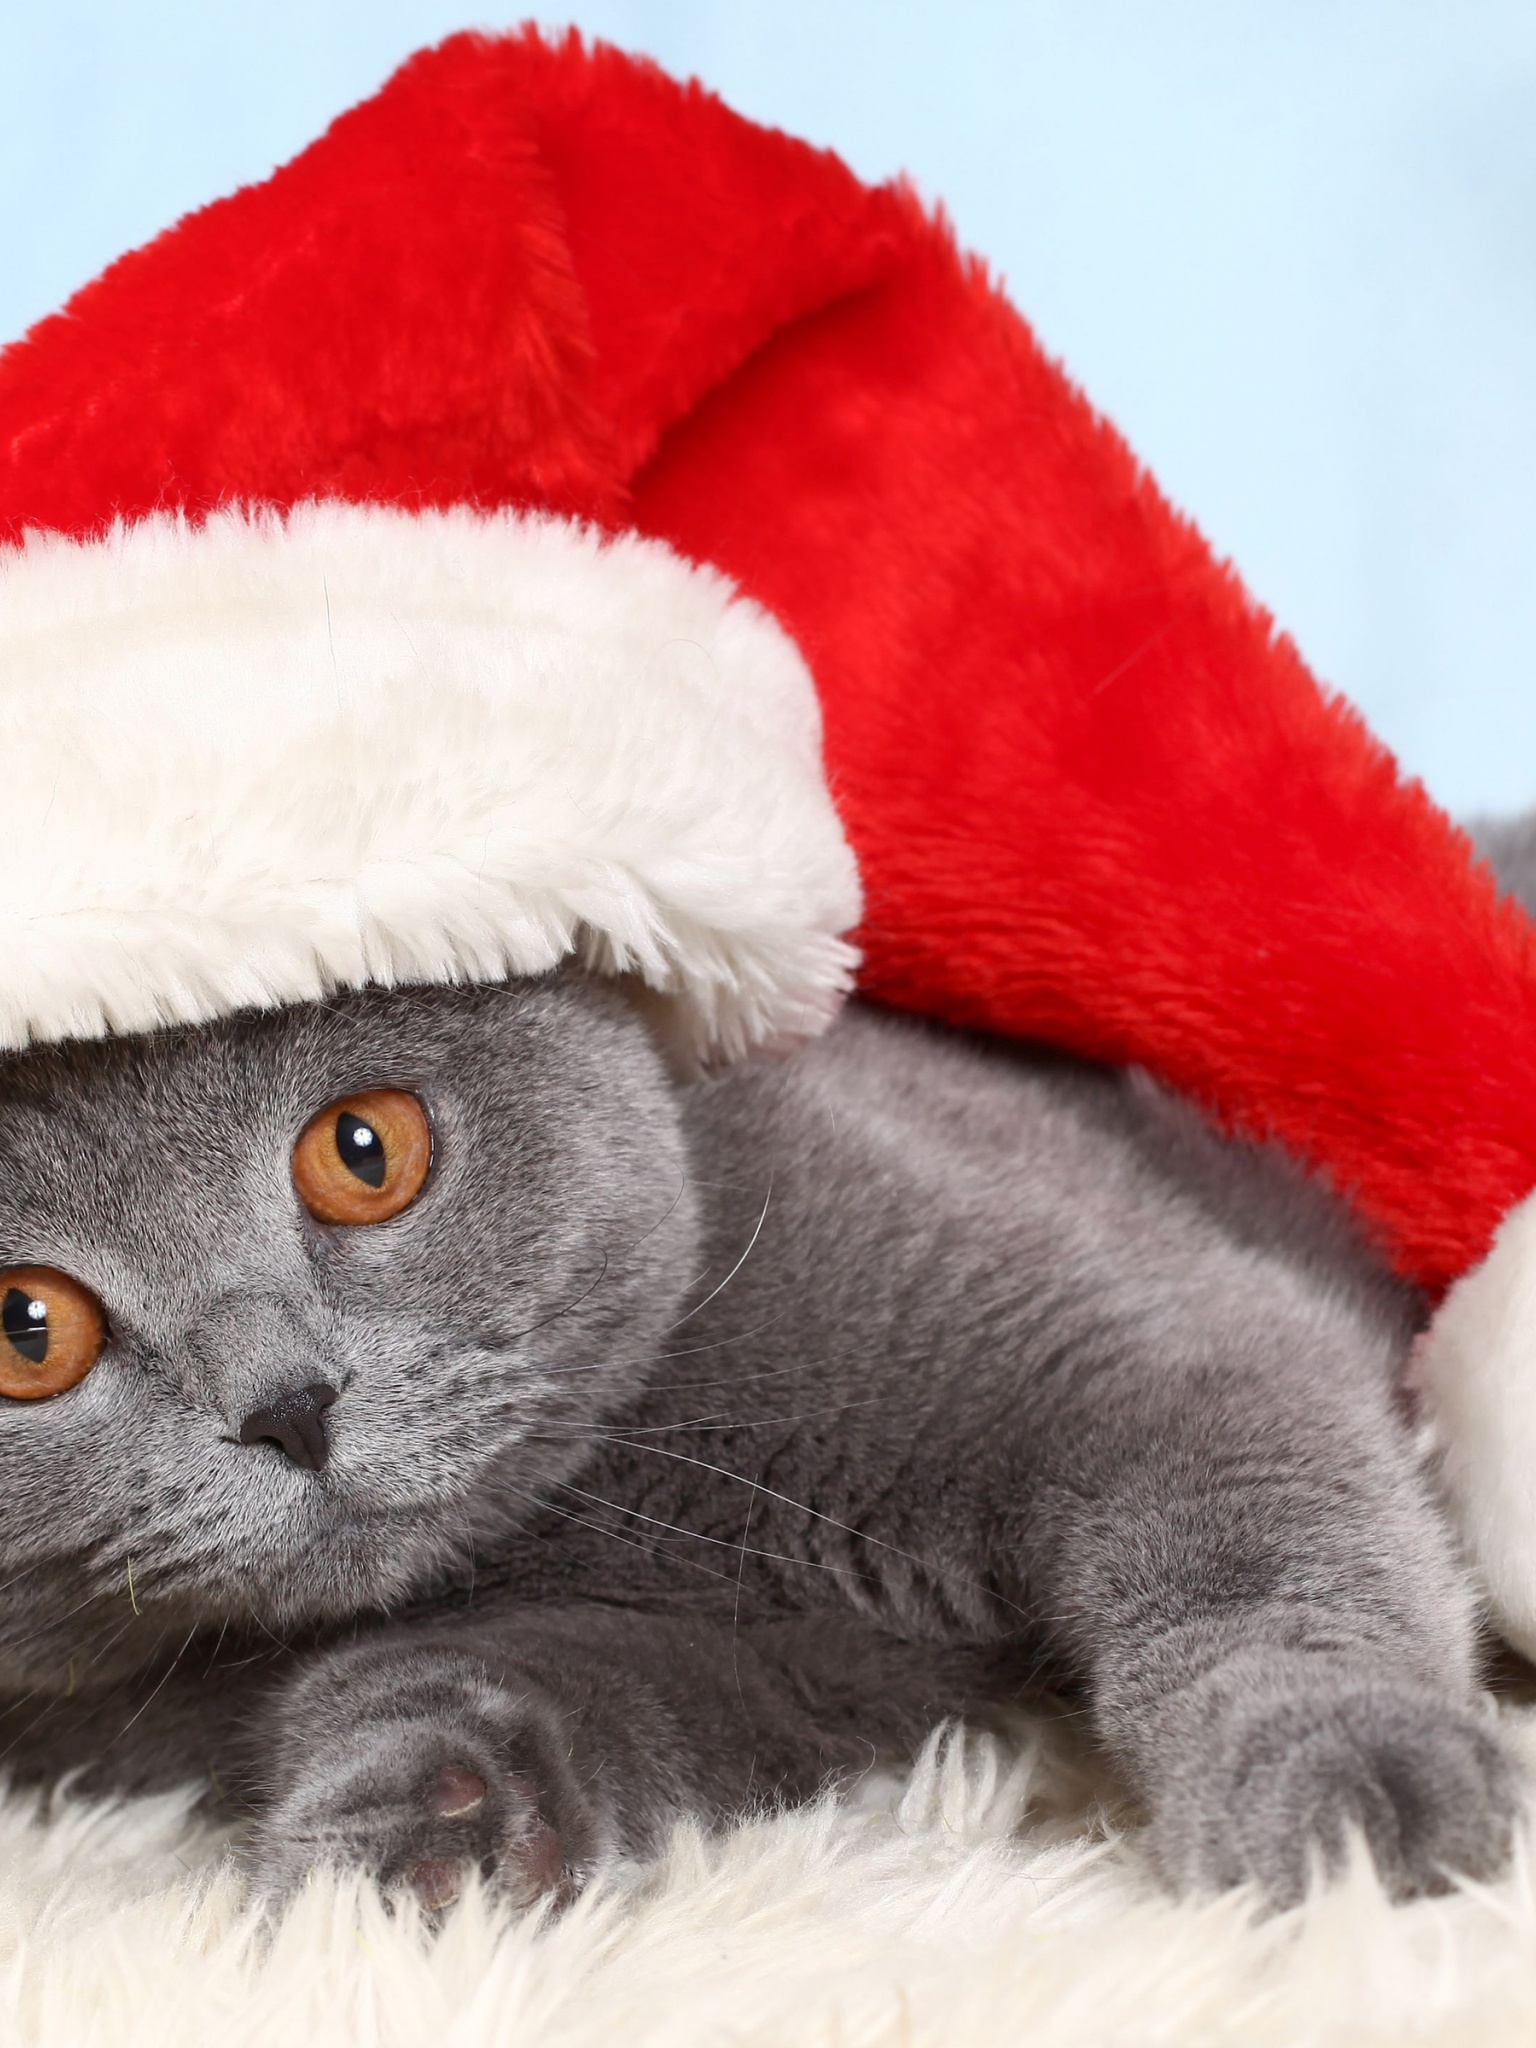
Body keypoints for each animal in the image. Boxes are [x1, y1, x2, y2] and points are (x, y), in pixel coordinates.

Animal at [0, 856, 1523, 1908]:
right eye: (29, 1329)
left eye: (363, 1150)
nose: (288, 1404)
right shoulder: (789, 1666)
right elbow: (490, 1690)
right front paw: (402, 1858)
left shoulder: (1154, 1347)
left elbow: (1255, 1560)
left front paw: (1356, 1803)